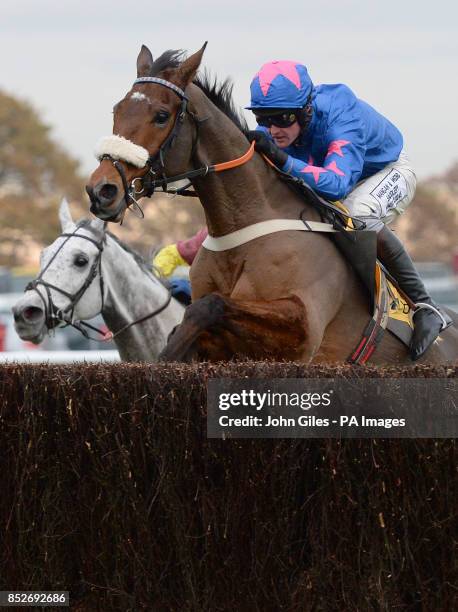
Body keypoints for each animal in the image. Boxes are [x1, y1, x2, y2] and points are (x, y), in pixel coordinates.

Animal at [85, 46, 454, 364]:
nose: (101, 190)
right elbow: (190, 321)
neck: (242, 230)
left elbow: (208, 306)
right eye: (117, 110)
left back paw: (428, 325)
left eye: (161, 116)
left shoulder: (301, 329)